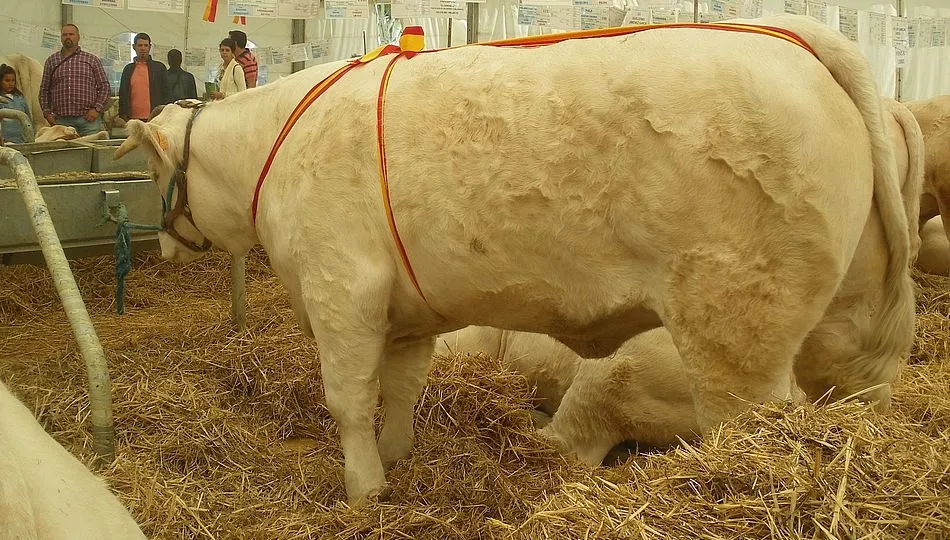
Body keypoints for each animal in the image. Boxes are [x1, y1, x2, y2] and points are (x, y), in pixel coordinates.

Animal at [113, 14, 915, 503]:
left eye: (150, 170)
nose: (162, 242)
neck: (278, 149)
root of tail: (794, 37)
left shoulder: (342, 292)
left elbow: (347, 399)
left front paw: (364, 487)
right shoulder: (405, 312)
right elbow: (402, 389)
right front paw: (398, 457)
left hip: (736, 332)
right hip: (843, 328)